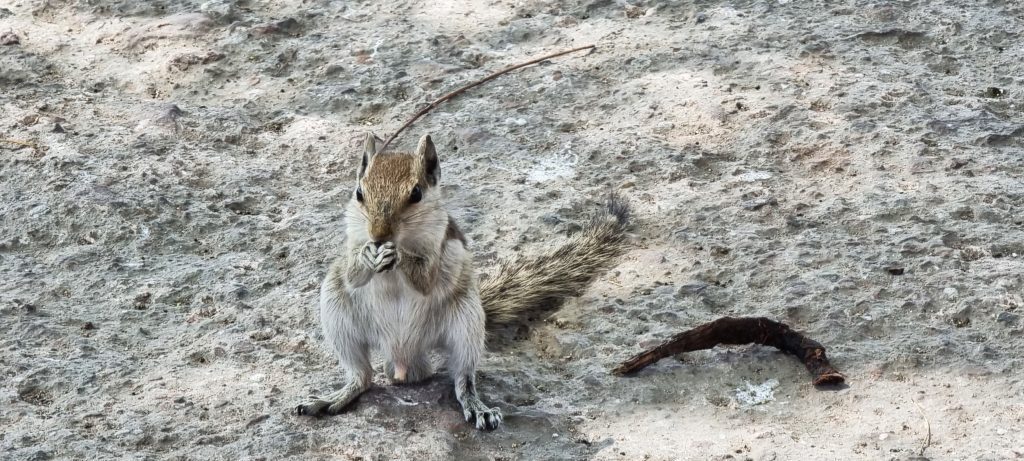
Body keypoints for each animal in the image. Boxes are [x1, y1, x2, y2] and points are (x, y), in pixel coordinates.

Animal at [296, 133, 631, 430]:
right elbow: (353, 274)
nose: (379, 236)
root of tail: (404, 359)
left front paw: (399, 255)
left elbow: (425, 278)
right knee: (362, 377)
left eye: (416, 194)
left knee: (462, 379)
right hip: (336, 308)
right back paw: (330, 399)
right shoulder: (350, 246)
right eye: (359, 194)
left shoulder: (439, 247)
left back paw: (478, 408)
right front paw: (368, 254)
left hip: (466, 323)